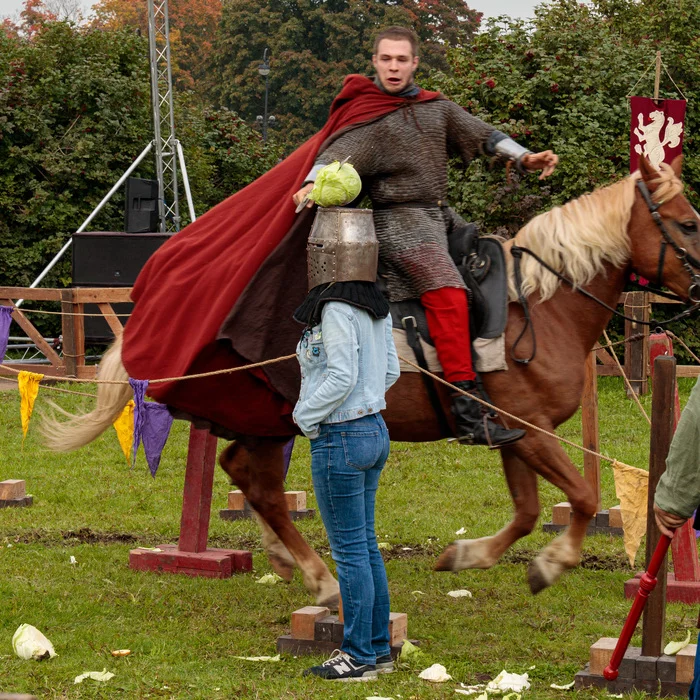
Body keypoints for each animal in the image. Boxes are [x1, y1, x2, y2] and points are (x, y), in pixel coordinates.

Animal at [42, 156, 700, 604]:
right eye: (688, 223)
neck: (540, 305)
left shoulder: (514, 433)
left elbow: (527, 510)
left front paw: (469, 556)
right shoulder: (531, 431)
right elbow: (581, 497)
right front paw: (555, 562)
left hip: (267, 425)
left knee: (243, 473)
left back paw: (286, 557)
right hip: (275, 419)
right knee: (260, 487)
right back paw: (321, 578)